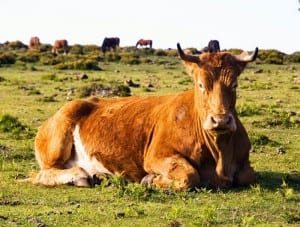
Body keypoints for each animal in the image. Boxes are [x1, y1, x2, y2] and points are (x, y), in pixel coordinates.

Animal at [25, 42, 258, 190]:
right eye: (201, 85)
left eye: (234, 85)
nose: (220, 120)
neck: (220, 152)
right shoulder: (156, 156)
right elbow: (190, 176)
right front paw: (150, 180)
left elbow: (248, 175)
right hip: (58, 142)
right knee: (44, 173)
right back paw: (80, 176)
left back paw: (99, 175)